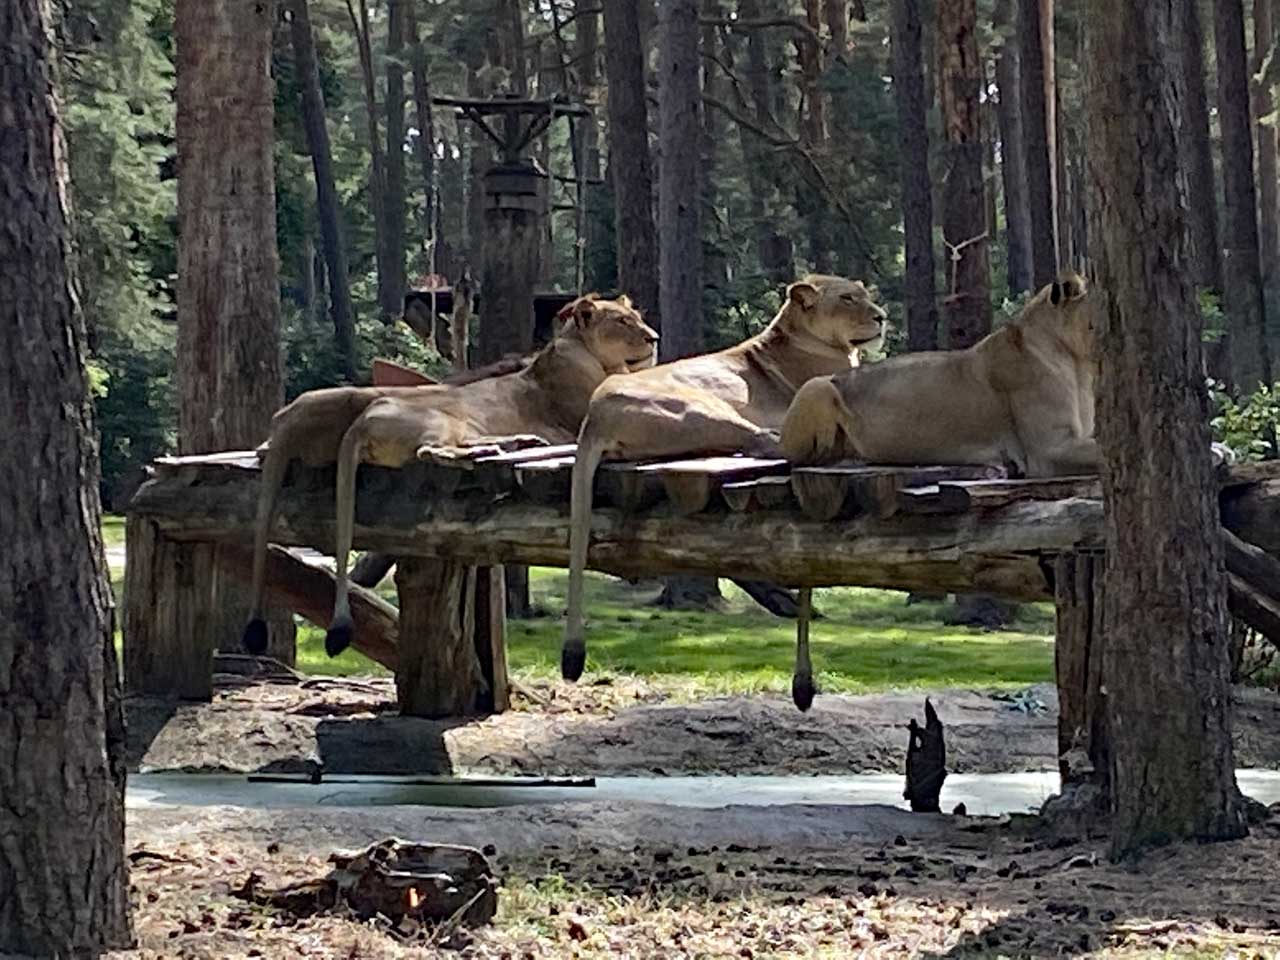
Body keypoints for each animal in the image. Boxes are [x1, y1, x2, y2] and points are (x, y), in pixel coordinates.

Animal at [241, 296, 660, 660]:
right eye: (622, 321)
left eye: (636, 317)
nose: (654, 338)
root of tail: (359, 424)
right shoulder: (580, 425)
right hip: (448, 419)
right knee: (433, 453)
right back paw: (506, 446)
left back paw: (513, 442)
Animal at [560, 272, 890, 686]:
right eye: (848, 299)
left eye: (865, 295)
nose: (881, 317)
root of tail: (595, 416)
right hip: (707, 404)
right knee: (767, 442)